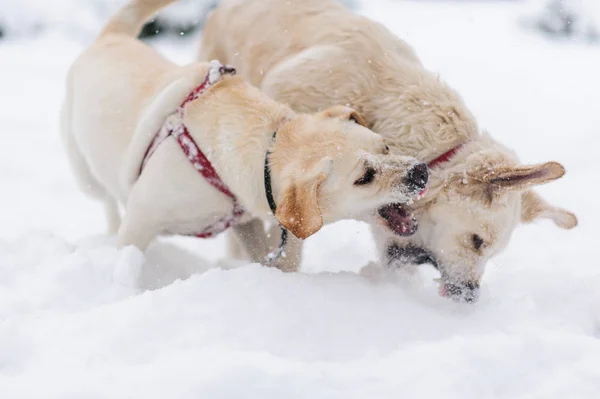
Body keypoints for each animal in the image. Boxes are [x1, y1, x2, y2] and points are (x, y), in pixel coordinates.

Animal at [59, 0, 426, 270]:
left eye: (386, 146)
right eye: (364, 177)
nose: (420, 172)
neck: (266, 145)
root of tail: (111, 36)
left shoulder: (243, 222)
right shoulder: (142, 216)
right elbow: (128, 255)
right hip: (85, 174)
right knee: (108, 202)